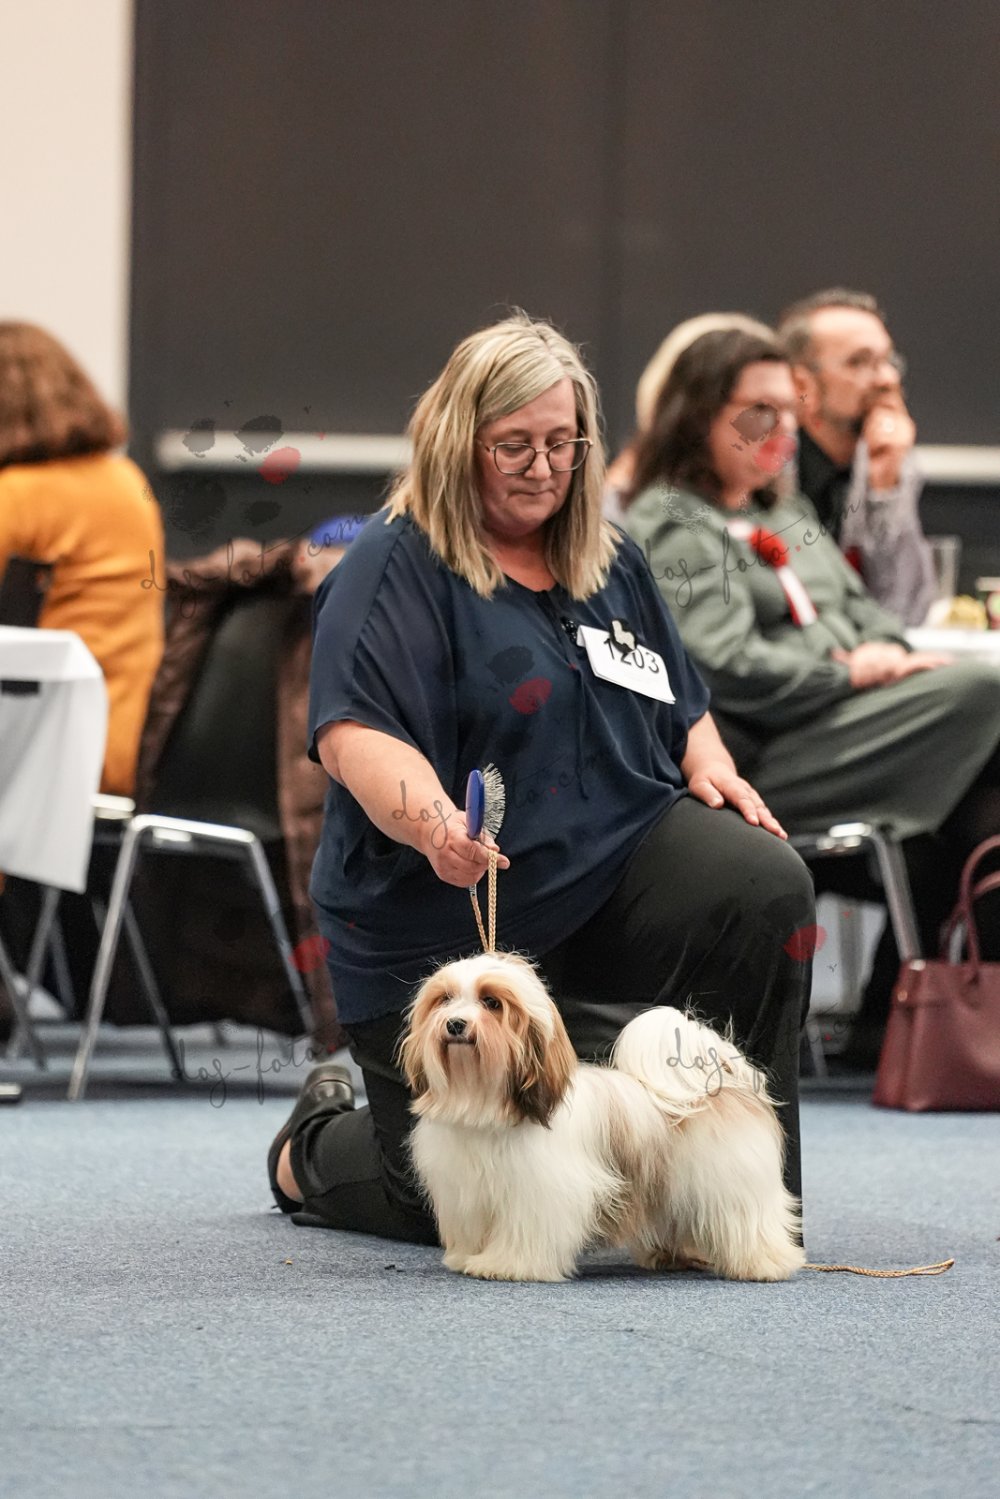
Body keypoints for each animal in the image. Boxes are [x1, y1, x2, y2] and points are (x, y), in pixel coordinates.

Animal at [398, 952, 804, 1283]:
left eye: (491, 1002)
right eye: (445, 999)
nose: (455, 1024)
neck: (485, 1103)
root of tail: (719, 1083)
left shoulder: (539, 1191)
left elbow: (526, 1232)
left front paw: (506, 1265)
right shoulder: (467, 1191)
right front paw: (468, 1258)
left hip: (729, 1181)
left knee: (750, 1220)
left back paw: (764, 1264)